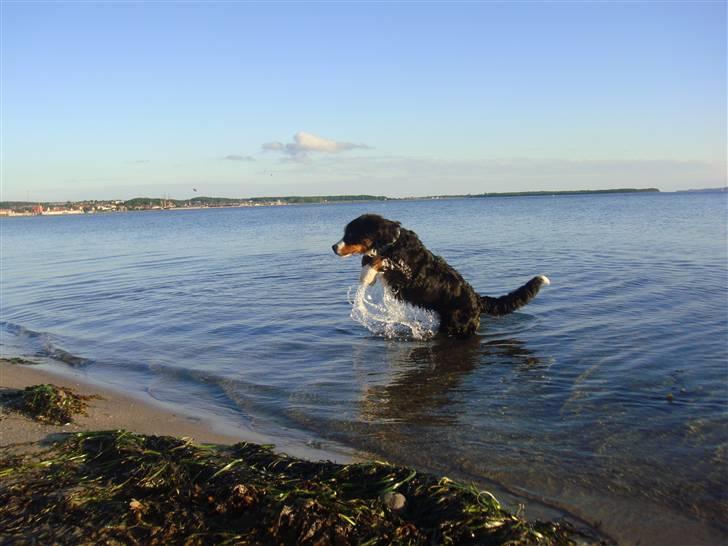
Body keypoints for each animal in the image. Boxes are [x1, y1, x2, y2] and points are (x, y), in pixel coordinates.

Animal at [332, 212, 548, 336]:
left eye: (350, 234)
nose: (334, 247)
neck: (394, 242)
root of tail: (477, 298)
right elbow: (372, 259)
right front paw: (367, 271)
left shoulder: (406, 274)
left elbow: (381, 260)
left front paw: (367, 272)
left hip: (456, 325)